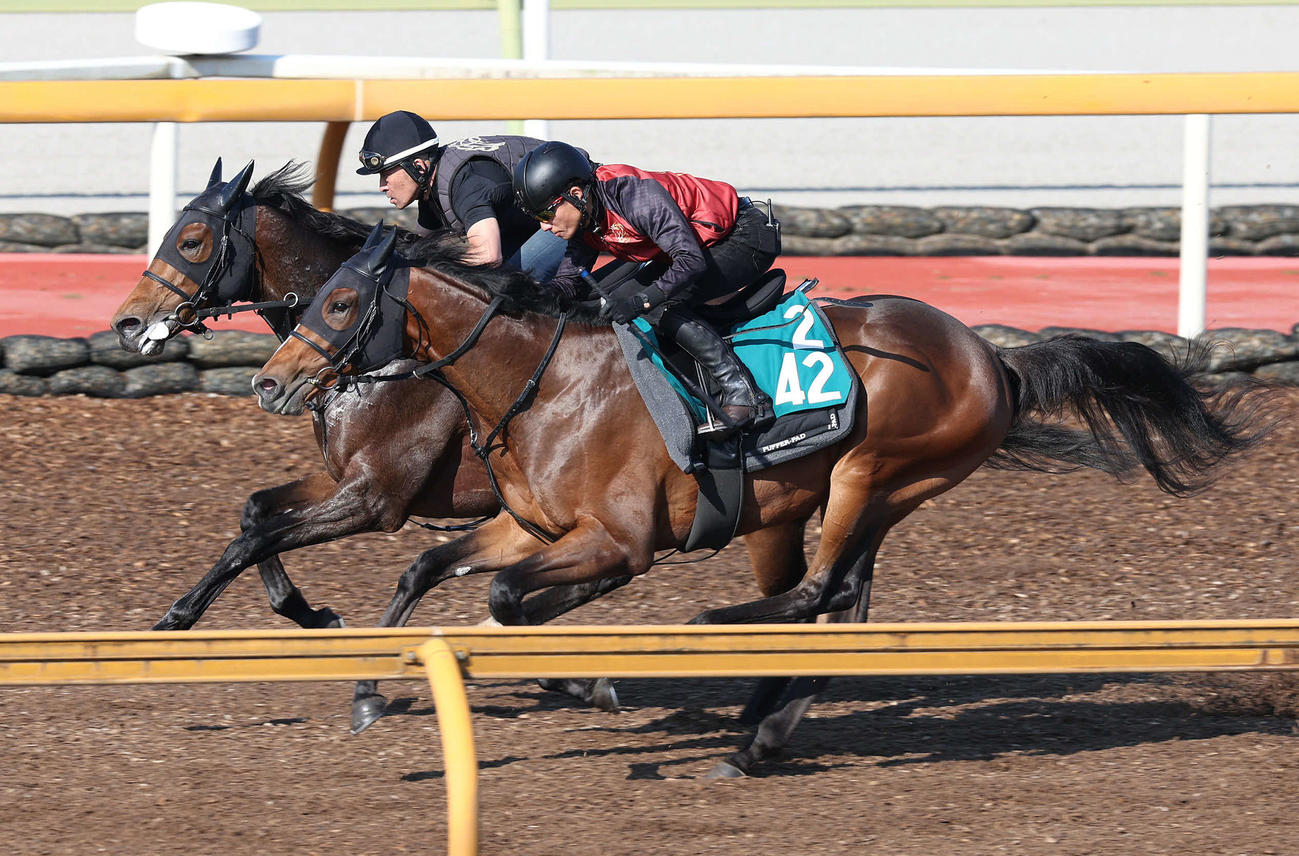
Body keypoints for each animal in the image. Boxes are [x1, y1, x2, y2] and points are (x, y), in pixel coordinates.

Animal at [251, 225, 1275, 776]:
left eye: (339, 304)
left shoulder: (618, 540)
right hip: (838, 501)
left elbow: (510, 597)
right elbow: (431, 567)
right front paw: (373, 691)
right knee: (838, 602)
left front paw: (586, 673)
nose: (269, 381)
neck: (545, 380)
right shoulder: (522, 524)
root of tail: (994, 356)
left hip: (872, 468)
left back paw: (727, 655)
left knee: (817, 594)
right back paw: (761, 728)